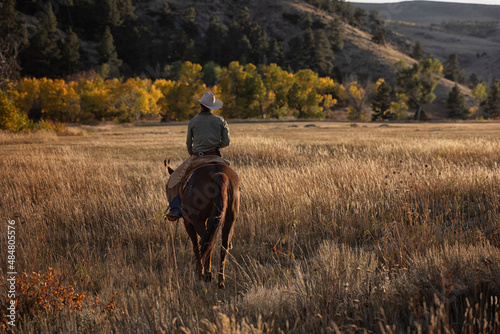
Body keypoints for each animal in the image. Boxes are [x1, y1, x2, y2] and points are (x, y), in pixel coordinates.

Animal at [166, 160, 240, 288]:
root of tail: (219, 175)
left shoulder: (188, 222)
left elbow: (196, 244)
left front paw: (199, 271)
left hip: (198, 221)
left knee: (207, 242)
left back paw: (207, 274)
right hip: (229, 221)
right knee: (223, 246)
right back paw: (220, 280)